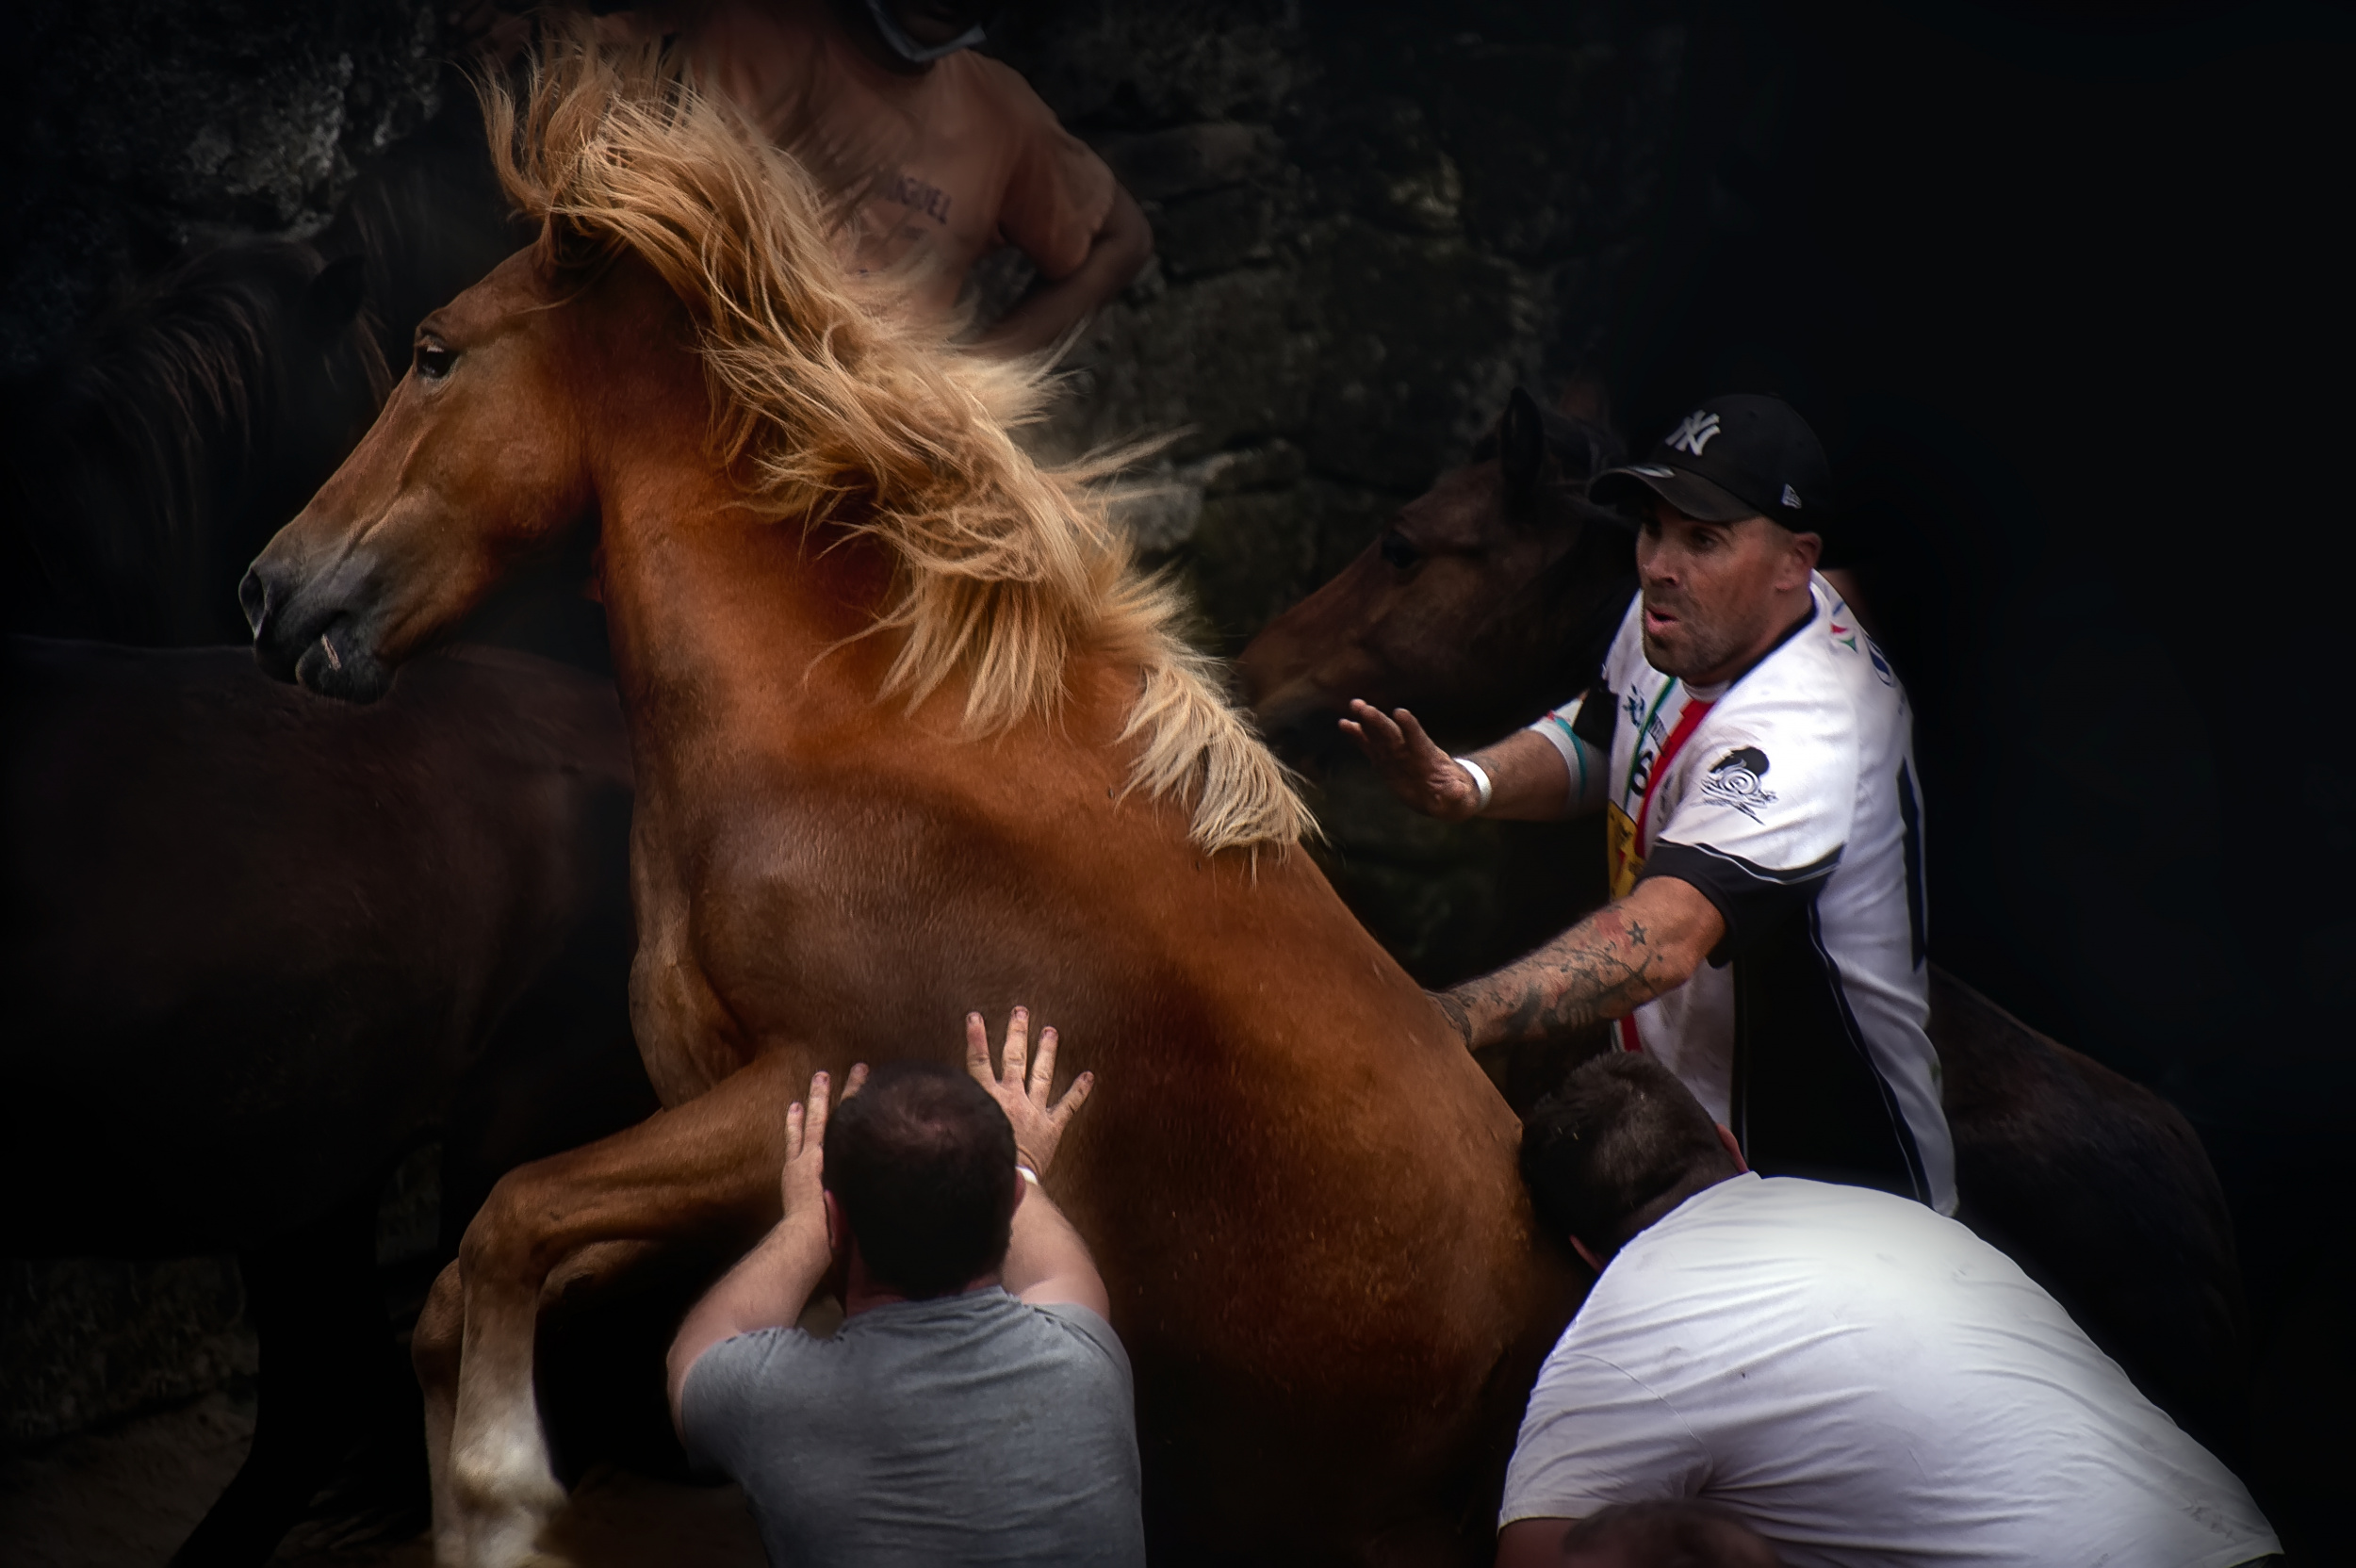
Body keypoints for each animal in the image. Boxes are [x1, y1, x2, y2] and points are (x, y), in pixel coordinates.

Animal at [244, 36, 1576, 1566]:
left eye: (432, 353)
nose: (270, 590)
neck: (863, 748)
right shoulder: (735, 1146)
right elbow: (468, 1282)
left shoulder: (803, 1089)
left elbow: (508, 1221)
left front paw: (507, 1499)